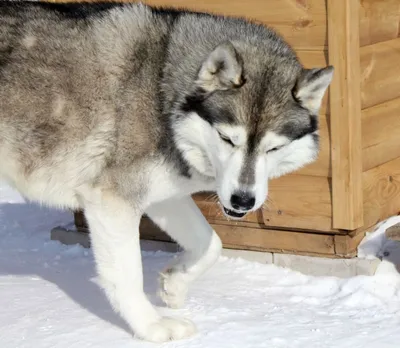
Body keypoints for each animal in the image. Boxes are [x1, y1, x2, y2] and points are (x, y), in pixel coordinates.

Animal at [0, 1, 332, 342]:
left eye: (273, 148)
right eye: (227, 139)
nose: (242, 200)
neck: (162, 93)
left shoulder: (166, 195)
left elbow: (211, 243)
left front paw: (175, 282)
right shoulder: (112, 201)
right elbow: (129, 275)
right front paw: (151, 327)